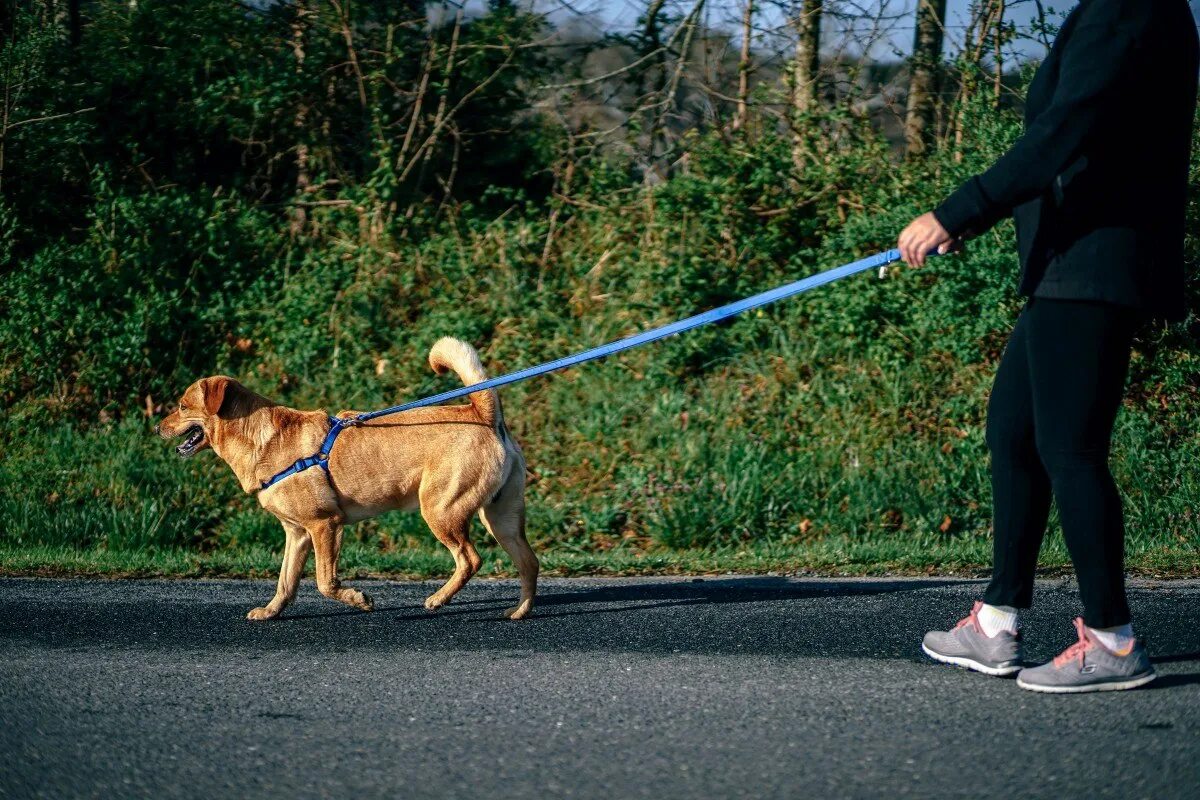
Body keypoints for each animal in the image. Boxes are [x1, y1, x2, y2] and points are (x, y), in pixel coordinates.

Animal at [156, 338, 540, 618]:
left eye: (182, 406)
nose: (157, 427)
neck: (258, 438)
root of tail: (480, 413)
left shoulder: (325, 525)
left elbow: (324, 582)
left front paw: (359, 599)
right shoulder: (297, 534)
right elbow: (285, 581)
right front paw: (271, 611)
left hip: (440, 510)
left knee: (470, 559)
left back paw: (438, 599)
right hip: (500, 518)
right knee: (528, 562)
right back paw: (519, 611)